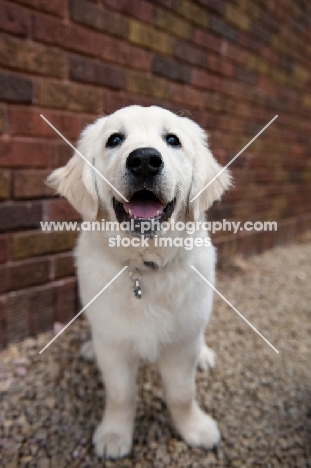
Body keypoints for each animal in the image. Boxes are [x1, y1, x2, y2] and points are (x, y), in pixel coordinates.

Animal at [47, 105, 232, 458]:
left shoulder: (182, 344)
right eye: (114, 139)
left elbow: (182, 394)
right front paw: (114, 435)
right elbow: (121, 394)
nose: (145, 160)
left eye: (172, 140)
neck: (144, 265)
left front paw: (195, 429)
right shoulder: (114, 344)